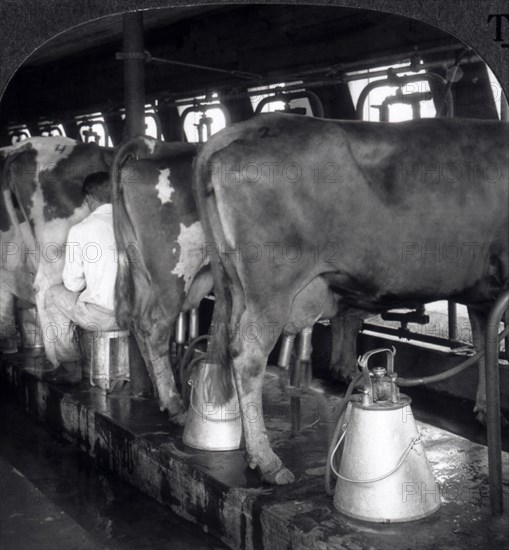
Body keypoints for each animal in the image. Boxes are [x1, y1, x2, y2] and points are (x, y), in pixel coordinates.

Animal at [113, 138, 230, 422]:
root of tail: (150, 147)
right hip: (175, 275)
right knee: (156, 331)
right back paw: (175, 405)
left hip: (142, 273)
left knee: (139, 323)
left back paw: (161, 393)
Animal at [194, 114, 508, 486]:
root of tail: (255, 124)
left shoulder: (480, 291)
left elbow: (483, 344)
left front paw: (485, 407)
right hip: (272, 289)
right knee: (248, 356)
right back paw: (267, 460)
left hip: (237, 287)